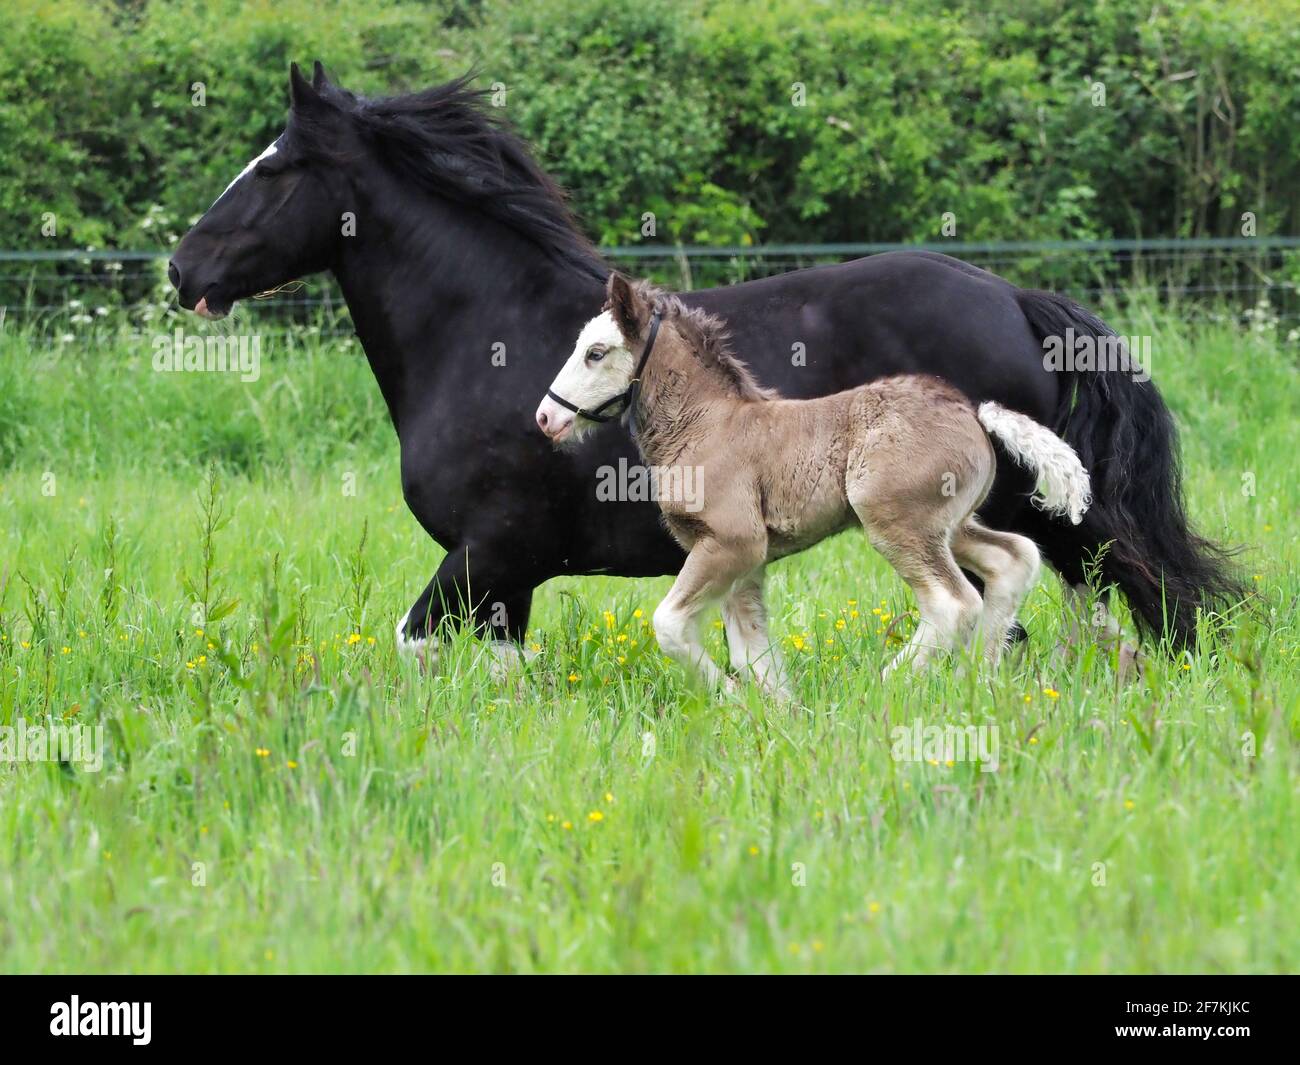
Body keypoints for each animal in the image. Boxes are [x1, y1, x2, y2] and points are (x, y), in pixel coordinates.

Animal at [537, 274, 1092, 692]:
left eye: (596, 352)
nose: (546, 417)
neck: (706, 425)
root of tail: (972, 411)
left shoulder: (731, 542)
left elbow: (671, 627)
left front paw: (731, 700)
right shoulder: (744, 558)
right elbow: (752, 648)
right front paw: (776, 713)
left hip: (897, 522)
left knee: (952, 603)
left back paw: (887, 686)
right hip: (950, 525)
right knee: (1012, 559)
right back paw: (978, 680)